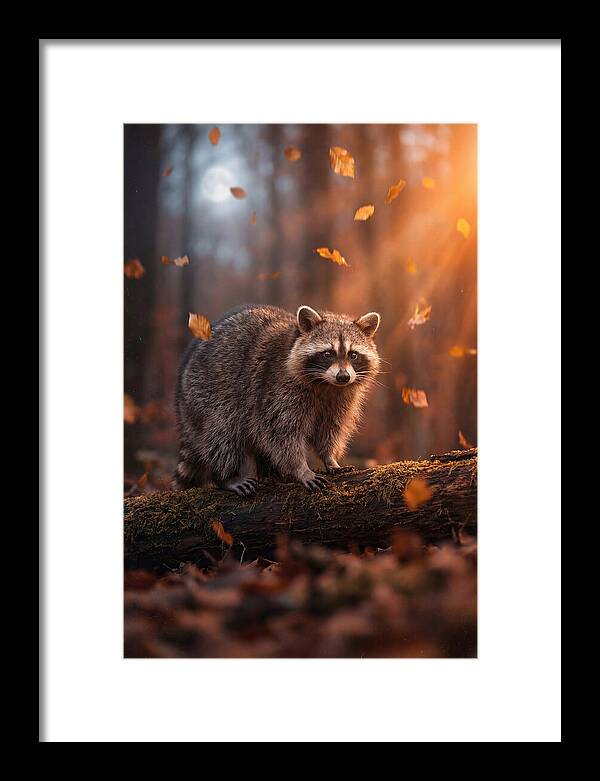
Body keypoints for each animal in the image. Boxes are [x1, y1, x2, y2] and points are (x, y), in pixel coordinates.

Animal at [174, 304, 381, 495]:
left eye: (353, 355)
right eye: (328, 354)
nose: (343, 377)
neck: (327, 385)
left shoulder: (340, 399)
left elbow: (330, 429)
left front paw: (330, 458)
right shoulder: (276, 390)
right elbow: (282, 434)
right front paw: (301, 469)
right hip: (207, 395)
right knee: (222, 434)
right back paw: (226, 476)